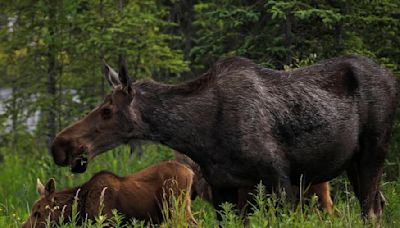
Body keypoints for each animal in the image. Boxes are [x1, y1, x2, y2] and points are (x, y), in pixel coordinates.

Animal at [50, 55, 396, 221]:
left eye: (107, 110)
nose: (60, 146)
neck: (200, 136)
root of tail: (393, 77)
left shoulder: (279, 180)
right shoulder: (223, 189)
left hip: (373, 152)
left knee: (372, 209)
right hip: (352, 164)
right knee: (378, 204)